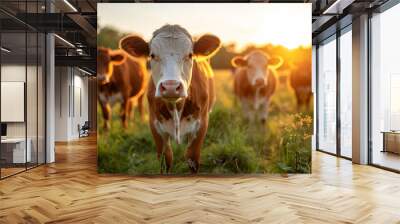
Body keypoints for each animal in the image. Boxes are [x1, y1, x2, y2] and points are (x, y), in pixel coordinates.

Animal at [120, 24, 220, 173]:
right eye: (152, 55)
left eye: (190, 55)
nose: (171, 86)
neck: (175, 108)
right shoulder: (155, 126)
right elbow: (165, 159)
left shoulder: (201, 125)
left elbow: (192, 158)